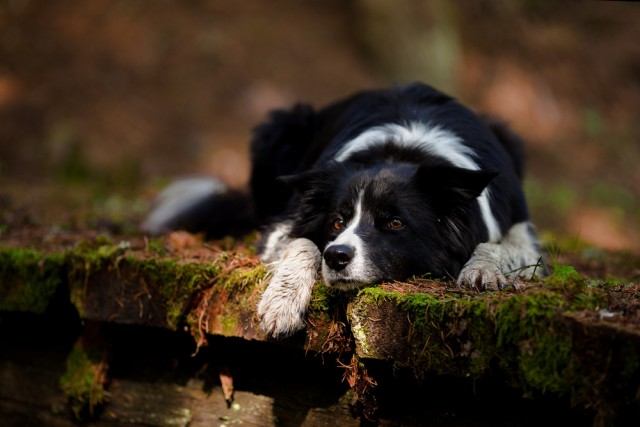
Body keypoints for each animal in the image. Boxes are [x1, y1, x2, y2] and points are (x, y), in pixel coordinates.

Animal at [142, 83, 544, 338]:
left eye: (394, 222)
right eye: (337, 221)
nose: (337, 257)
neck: (401, 151)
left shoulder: (519, 227)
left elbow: (498, 245)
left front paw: (482, 270)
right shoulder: (285, 225)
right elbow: (303, 243)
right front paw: (282, 303)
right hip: (280, 127)